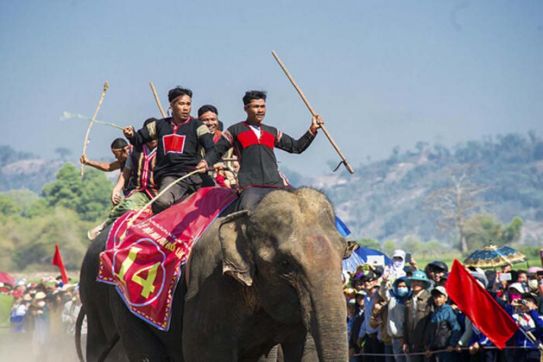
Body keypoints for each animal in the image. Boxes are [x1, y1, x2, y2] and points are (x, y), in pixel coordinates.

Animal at [79, 188, 352, 360]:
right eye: (285, 263)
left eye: (343, 254)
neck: (247, 214)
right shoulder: (210, 286)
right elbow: (206, 354)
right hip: (116, 304)